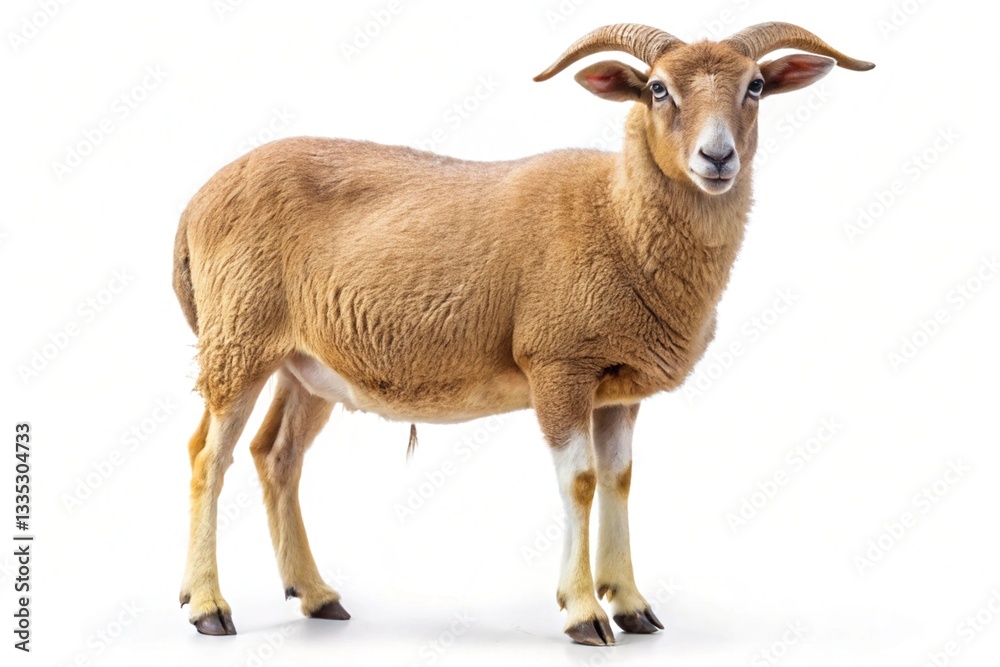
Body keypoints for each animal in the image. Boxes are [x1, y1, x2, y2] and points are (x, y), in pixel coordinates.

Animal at [173, 21, 873, 645]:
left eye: (755, 85)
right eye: (657, 89)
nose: (717, 157)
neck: (616, 214)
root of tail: (197, 202)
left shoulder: (617, 387)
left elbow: (619, 479)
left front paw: (632, 605)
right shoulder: (559, 364)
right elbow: (581, 482)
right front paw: (584, 612)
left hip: (307, 363)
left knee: (277, 456)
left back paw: (317, 596)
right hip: (238, 336)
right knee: (209, 455)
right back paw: (208, 606)